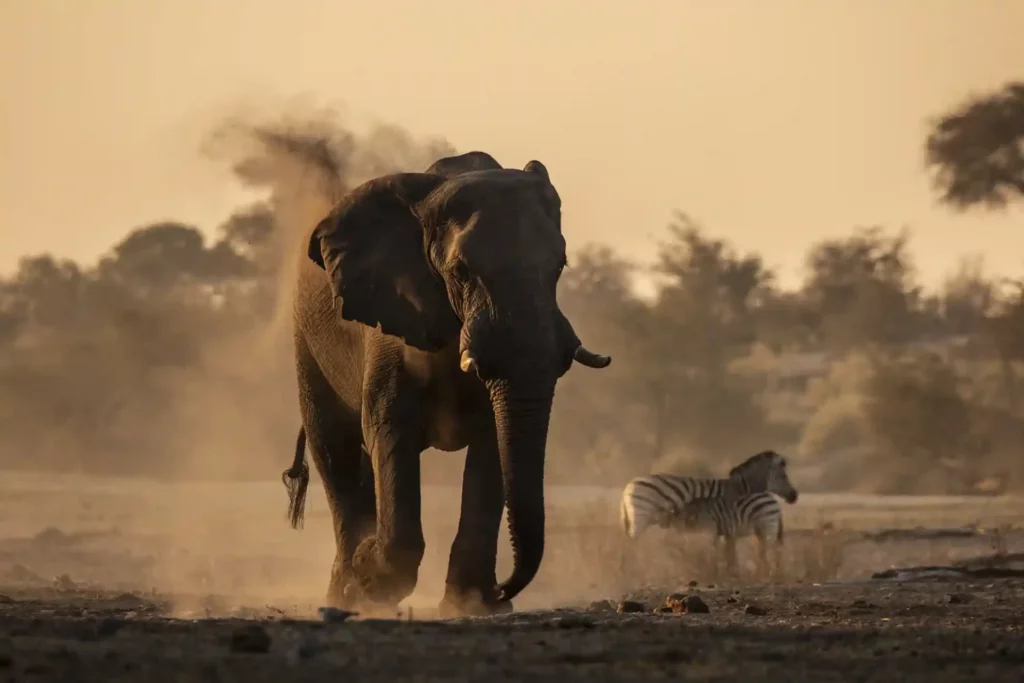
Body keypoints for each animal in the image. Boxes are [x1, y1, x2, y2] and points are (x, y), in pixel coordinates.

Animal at [280, 150, 610, 618]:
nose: (504, 589)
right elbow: (389, 432)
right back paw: (343, 592)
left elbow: (493, 444)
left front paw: (471, 605)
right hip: (306, 338)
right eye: (461, 271)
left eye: (559, 267)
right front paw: (369, 580)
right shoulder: (390, 327)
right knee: (334, 447)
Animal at [618, 450, 794, 540]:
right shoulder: (725, 519)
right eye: (783, 476)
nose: (794, 496)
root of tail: (627, 488)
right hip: (641, 517)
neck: (737, 487)